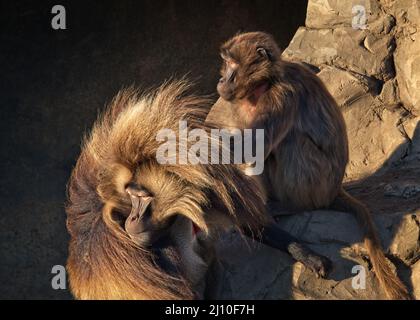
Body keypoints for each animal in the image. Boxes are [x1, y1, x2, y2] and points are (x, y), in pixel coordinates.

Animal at [65, 80, 330, 300]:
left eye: (141, 197)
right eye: (131, 196)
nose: (131, 220)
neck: (178, 219)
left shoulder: (210, 197)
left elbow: (250, 225)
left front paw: (310, 257)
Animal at [208, 31, 412, 298]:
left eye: (232, 64)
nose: (222, 79)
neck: (267, 83)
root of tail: (334, 190)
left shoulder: (282, 97)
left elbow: (250, 147)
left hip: (319, 185)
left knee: (289, 141)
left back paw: (291, 205)